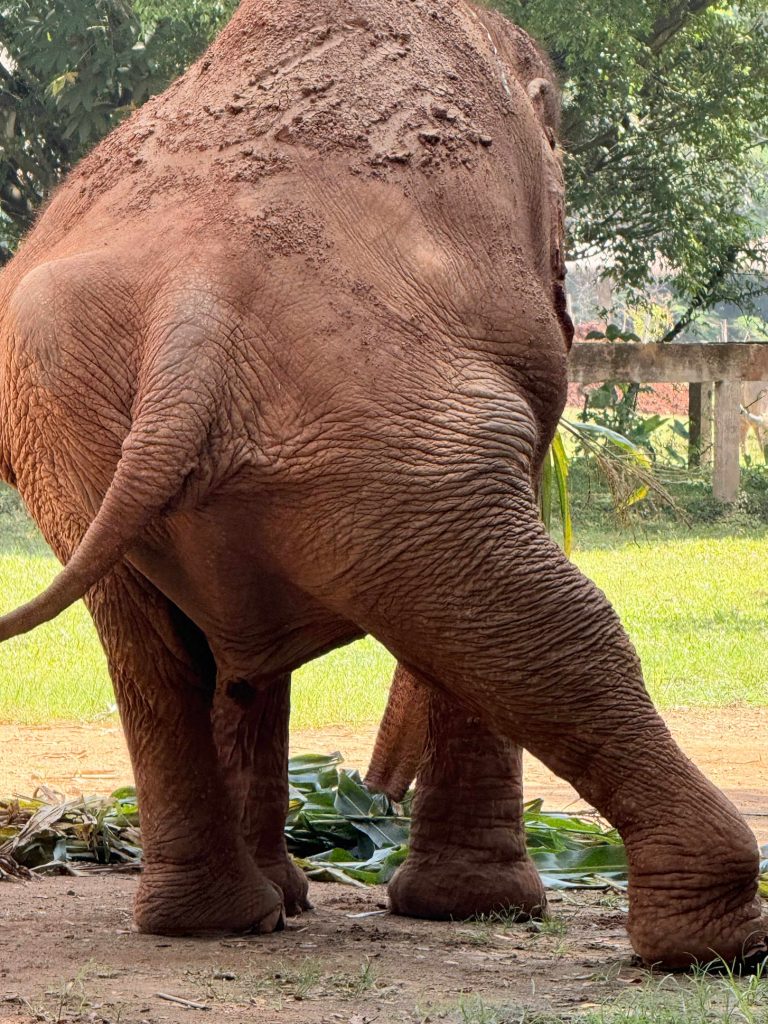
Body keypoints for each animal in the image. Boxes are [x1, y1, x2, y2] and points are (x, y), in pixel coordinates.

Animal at [0, 0, 765, 969]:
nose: (375, 793)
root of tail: (191, 310)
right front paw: (476, 911)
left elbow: (245, 662)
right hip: (386, 434)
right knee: (535, 620)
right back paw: (718, 940)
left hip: (83, 446)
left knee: (159, 652)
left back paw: (217, 918)